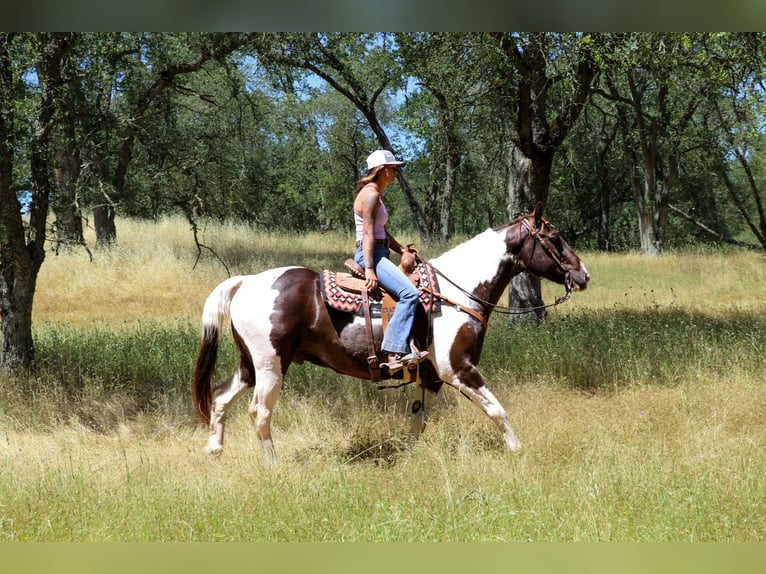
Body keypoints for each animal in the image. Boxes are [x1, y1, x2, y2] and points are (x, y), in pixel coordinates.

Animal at [192, 202, 590, 462]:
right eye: (555, 238)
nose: (583, 275)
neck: (456, 292)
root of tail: (245, 282)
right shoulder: (459, 369)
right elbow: (496, 409)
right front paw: (518, 450)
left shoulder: (429, 377)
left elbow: (418, 421)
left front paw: (407, 457)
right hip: (271, 365)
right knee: (259, 411)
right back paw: (272, 465)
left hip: (250, 365)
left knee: (220, 396)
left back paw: (214, 449)